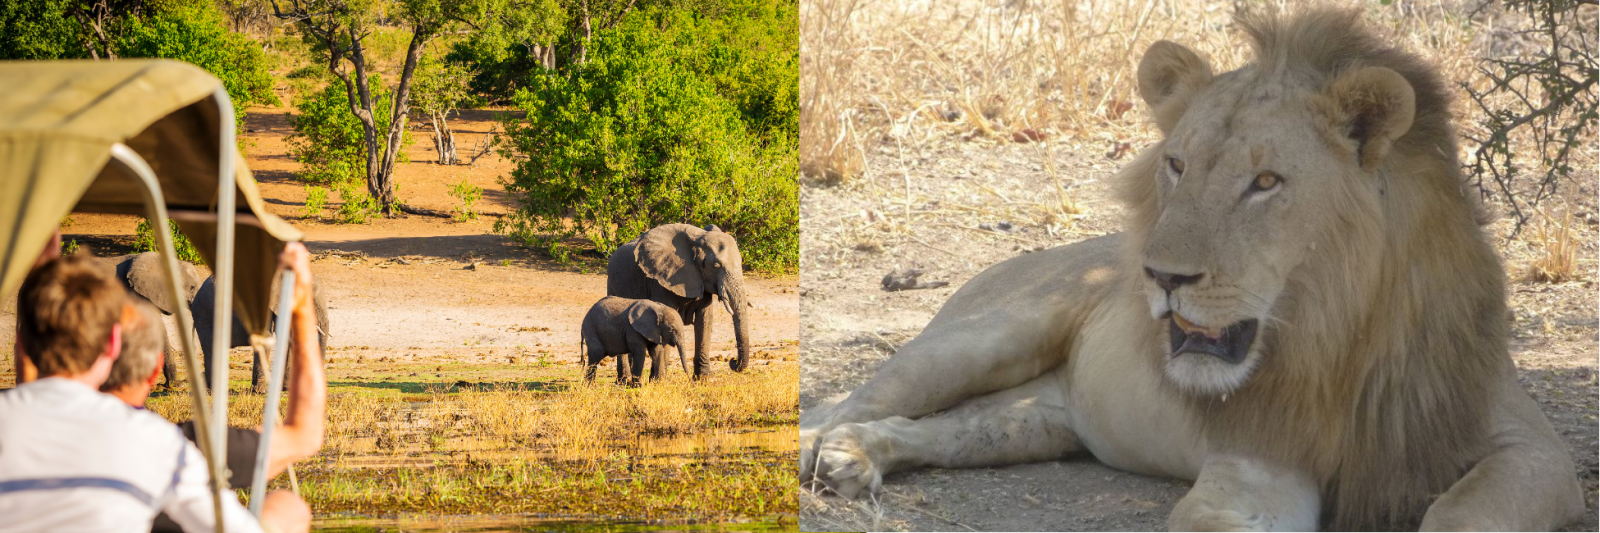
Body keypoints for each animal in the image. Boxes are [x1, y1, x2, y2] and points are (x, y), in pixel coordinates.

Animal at [608, 224, 752, 377]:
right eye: (716, 265)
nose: (733, 362)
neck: (697, 237)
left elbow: (705, 320)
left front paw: (705, 378)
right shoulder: (659, 281)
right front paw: (659, 380)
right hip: (612, 284)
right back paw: (625, 379)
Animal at [800, 6, 1587, 528]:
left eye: (1265, 182)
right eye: (1176, 165)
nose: (1162, 276)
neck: (1339, 339)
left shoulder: (1532, 451)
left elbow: (1462, 511)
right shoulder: (1258, 461)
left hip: (1038, 417)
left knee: (941, 426)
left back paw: (854, 459)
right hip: (984, 336)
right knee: (849, 401)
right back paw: (821, 450)